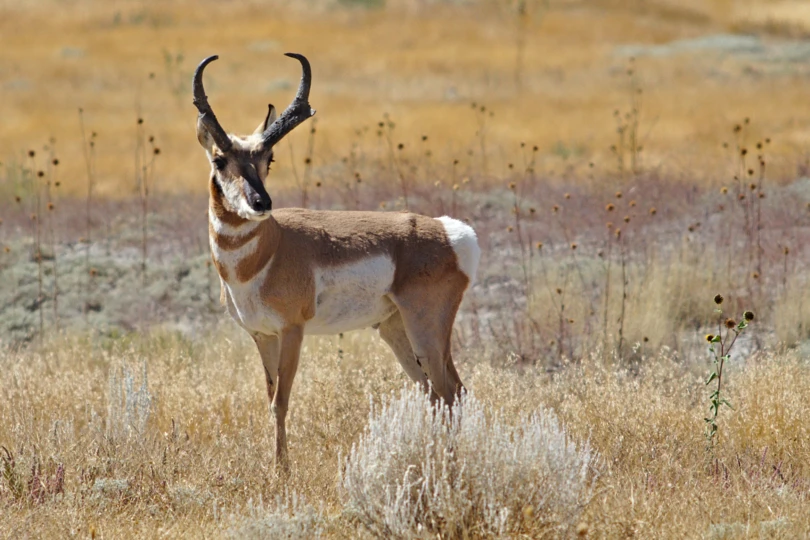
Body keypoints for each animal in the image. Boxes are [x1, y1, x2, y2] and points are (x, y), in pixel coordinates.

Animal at [193, 53, 480, 470]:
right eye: (219, 159)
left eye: (268, 158)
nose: (261, 203)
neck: (270, 249)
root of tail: (449, 231)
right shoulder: (262, 336)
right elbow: (269, 398)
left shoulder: (292, 331)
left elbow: (280, 402)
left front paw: (281, 472)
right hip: (396, 331)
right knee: (436, 393)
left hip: (426, 330)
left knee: (451, 392)